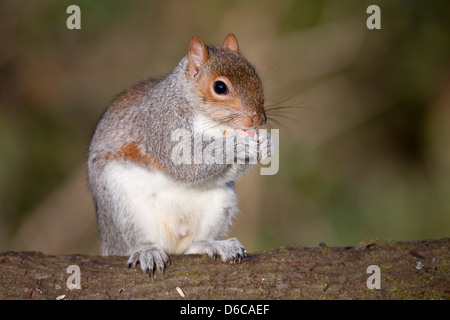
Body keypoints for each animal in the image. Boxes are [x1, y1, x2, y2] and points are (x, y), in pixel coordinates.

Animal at [86, 34, 272, 276]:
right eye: (220, 87)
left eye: (255, 76)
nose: (258, 119)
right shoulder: (162, 125)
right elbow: (186, 163)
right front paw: (236, 144)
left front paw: (266, 143)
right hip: (122, 208)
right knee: (133, 243)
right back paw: (147, 251)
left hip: (221, 202)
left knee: (191, 247)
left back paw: (214, 245)